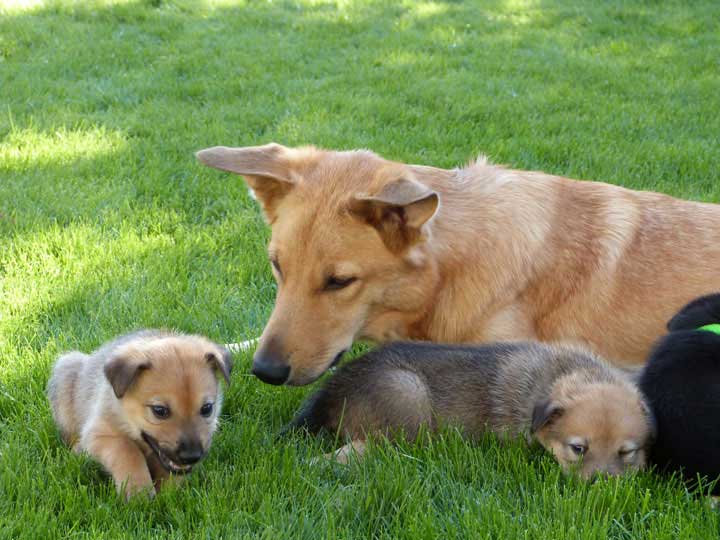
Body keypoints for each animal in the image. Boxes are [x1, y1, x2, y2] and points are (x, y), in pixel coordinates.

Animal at [47, 326, 232, 500]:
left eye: (207, 408)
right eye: (159, 411)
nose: (192, 456)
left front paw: (167, 493)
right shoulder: (98, 433)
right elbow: (127, 449)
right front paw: (139, 491)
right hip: (66, 369)